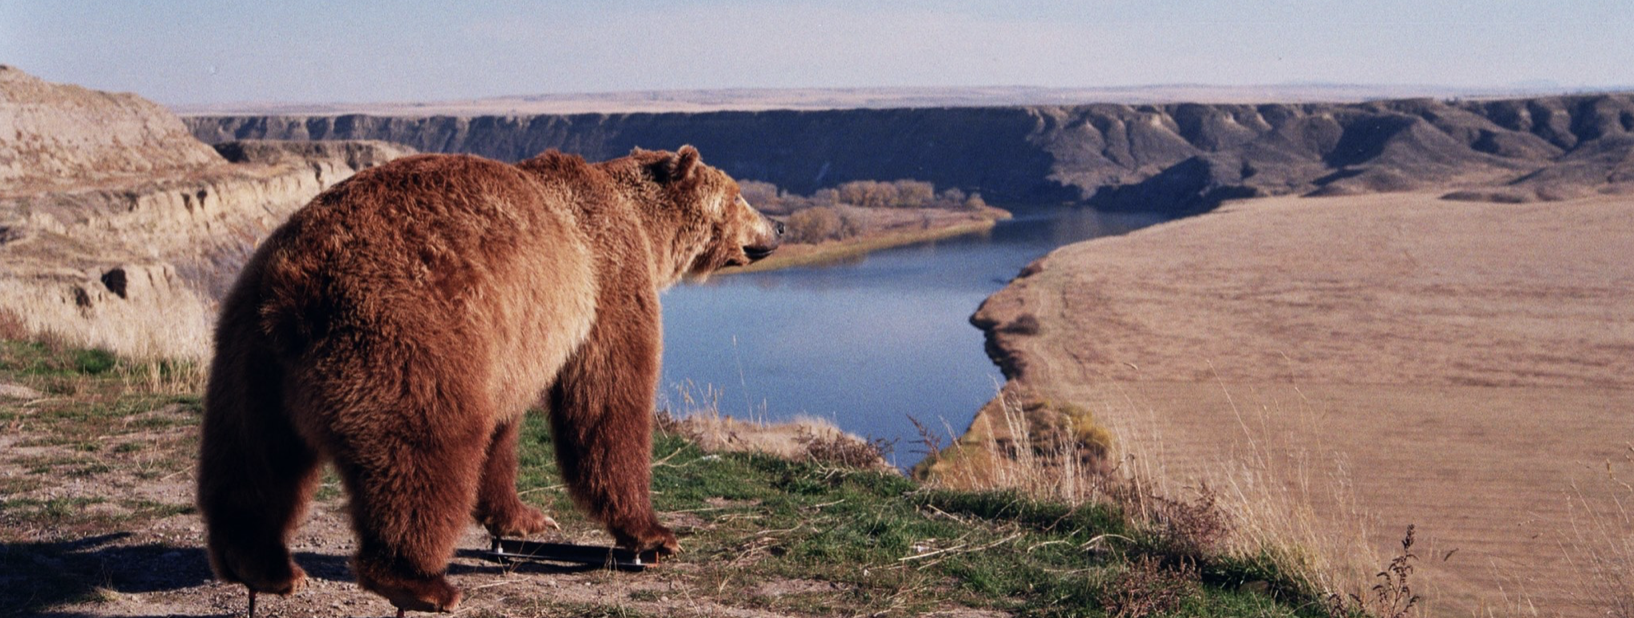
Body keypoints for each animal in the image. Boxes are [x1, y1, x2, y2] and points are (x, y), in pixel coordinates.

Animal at [196, 145, 781, 614]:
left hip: (246, 360)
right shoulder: (606, 285)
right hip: (405, 344)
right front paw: (654, 535)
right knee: (423, 456)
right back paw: (418, 581)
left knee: (253, 461)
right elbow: (608, 404)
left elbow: (504, 431)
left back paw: (260, 564)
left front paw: (523, 518)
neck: (641, 225)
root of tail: (293, 289)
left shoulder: (512, 339)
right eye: (738, 195)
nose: (778, 227)